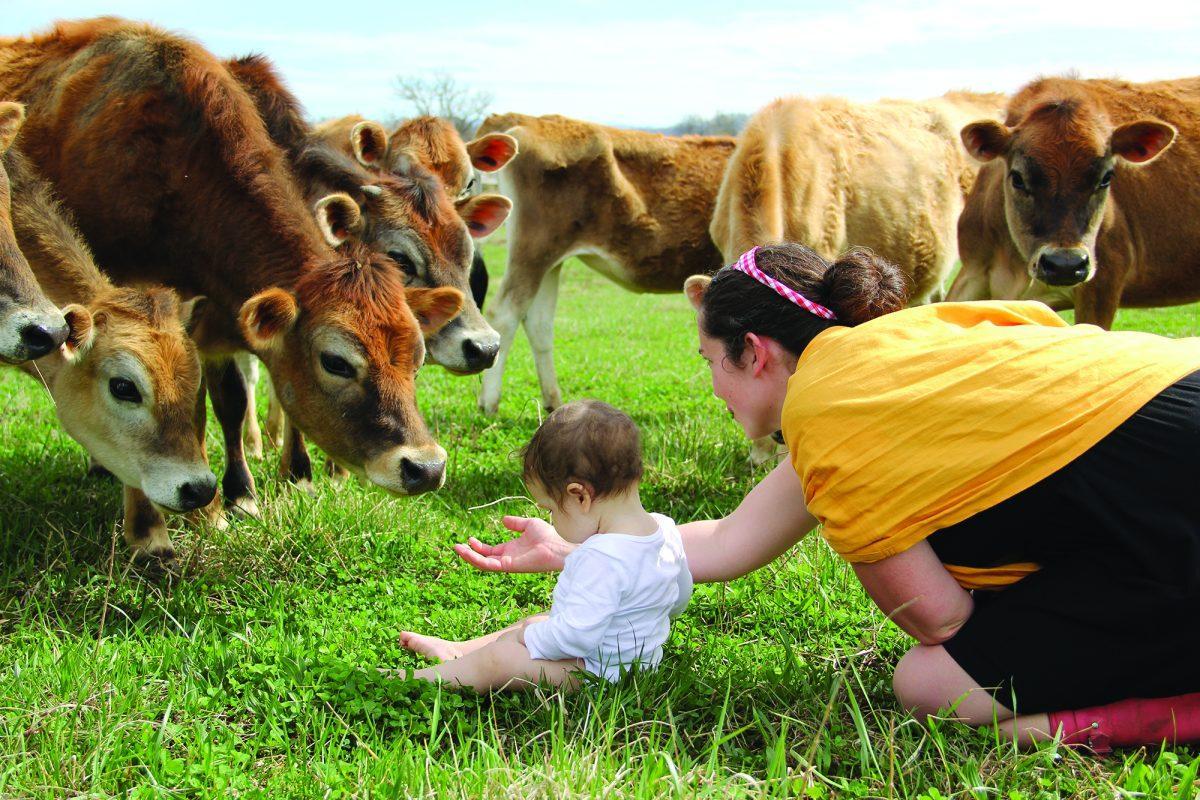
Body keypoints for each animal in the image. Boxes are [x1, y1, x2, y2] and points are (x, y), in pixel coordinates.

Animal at [466, 112, 737, 415]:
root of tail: (530, 119)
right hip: (533, 249)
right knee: (504, 315)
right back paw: (489, 403)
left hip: (549, 261)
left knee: (538, 324)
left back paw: (553, 401)